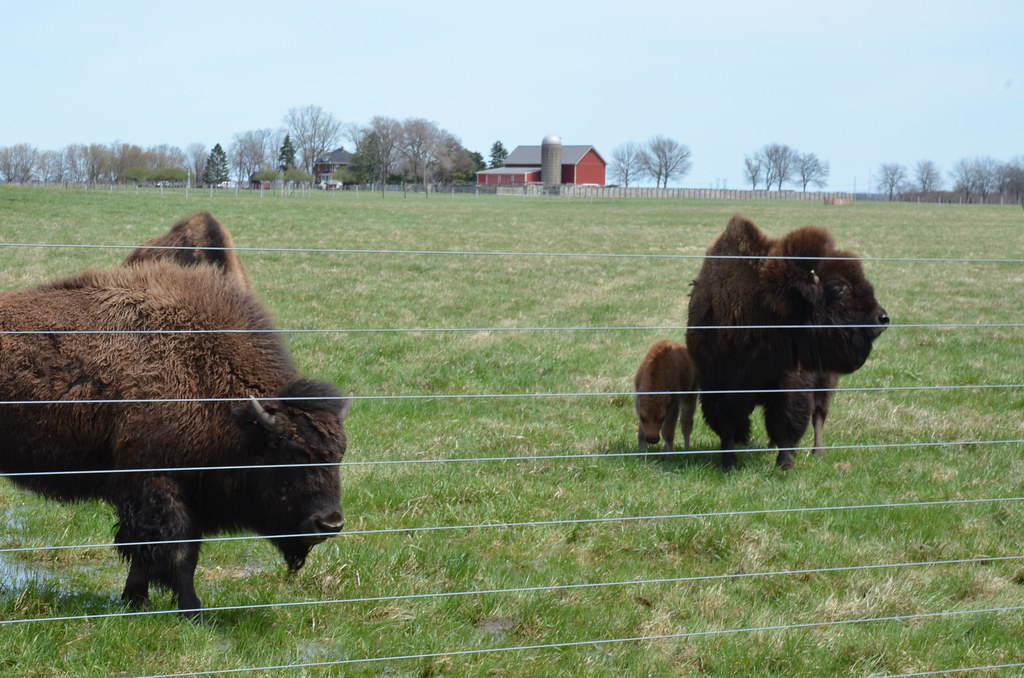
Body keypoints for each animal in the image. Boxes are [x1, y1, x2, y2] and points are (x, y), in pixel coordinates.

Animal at [0, 260, 351, 617]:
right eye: (291, 453)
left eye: (340, 454)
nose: (330, 523)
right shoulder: (157, 485)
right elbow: (179, 551)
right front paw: (193, 610)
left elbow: (152, 550)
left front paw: (136, 600)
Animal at [685, 215, 888, 470]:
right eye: (838, 289)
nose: (882, 318)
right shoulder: (716, 382)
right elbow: (726, 425)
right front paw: (729, 462)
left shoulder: (791, 382)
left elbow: (787, 422)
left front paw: (785, 464)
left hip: (825, 381)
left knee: (818, 414)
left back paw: (817, 452)